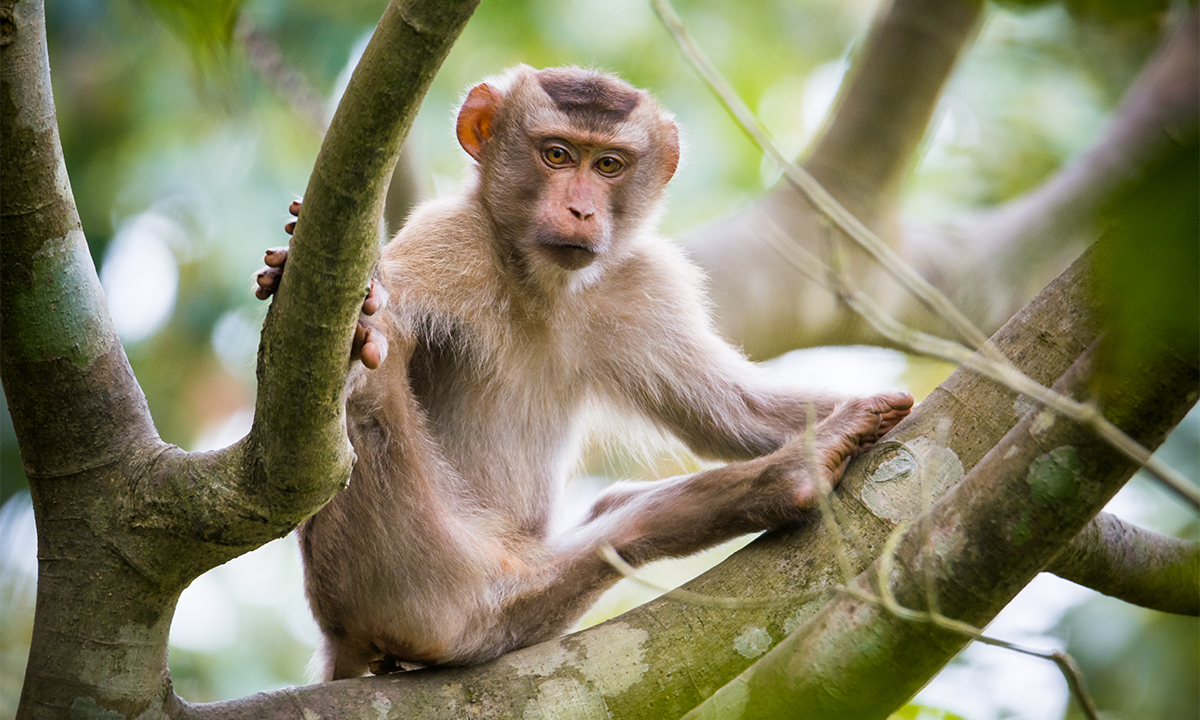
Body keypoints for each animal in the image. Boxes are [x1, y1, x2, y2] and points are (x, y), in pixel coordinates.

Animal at [255, 65, 913, 680]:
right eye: (557, 154)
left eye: (609, 165)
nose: (580, 208)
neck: (538, 284)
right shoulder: (446, 244)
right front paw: (327, 293)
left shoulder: (642, 287)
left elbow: (730, 414)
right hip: (422, 577)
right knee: (377, 394)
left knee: (615, 527)